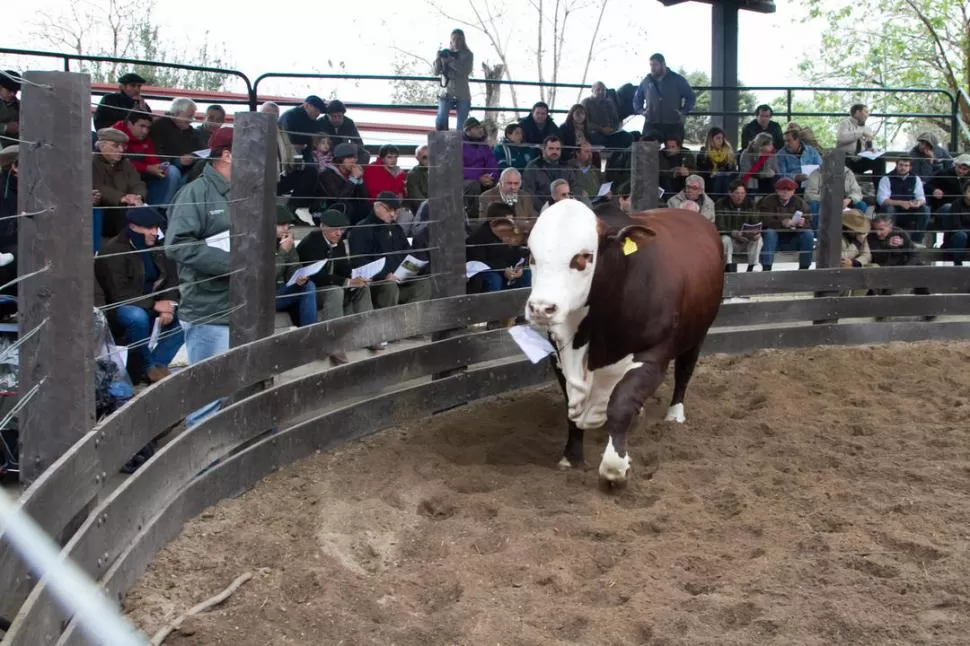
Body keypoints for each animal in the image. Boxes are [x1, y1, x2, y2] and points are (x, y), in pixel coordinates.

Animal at [524, 200, 724, 488]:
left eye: (584, 257)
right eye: (531, 255)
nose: (541, 308)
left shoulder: (653, 355)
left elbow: (621, 404)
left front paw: (615, 466)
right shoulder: (559, 357)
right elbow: (571, 410)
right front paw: (571, 457)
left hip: (698, 333)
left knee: (684, 372)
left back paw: (675, 414)